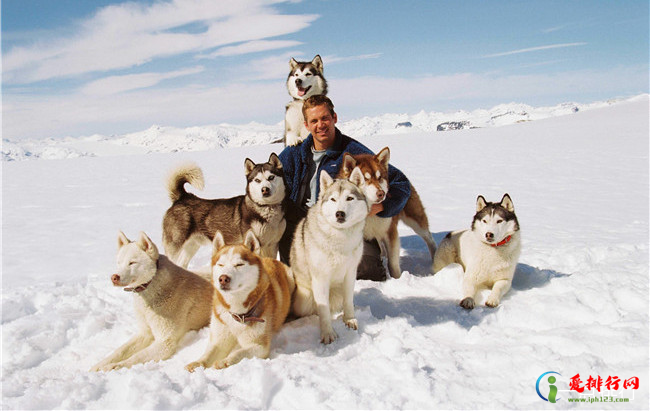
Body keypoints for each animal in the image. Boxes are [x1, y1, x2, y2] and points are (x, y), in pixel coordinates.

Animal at [90, 232, 211, 374]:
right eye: (119, 263)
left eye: (132, 263)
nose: (114, 277)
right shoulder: (144, 333)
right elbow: (119, 351)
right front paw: (98, 366)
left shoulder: (165, 342)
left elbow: (137, 357)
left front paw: (114, 367)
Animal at [184, 230, 292, 372]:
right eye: (221, 264)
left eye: (239, 264)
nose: (223, 279)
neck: (237, 312)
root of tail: (272, 259)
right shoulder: (219, 338)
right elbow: (208, 354)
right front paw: (197, 363)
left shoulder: (259, 345)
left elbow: (238, 352)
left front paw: (225, 361)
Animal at [290, 168, 368, 344]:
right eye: (333, 199)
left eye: (349, 198)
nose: (340, 214)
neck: (340, 237)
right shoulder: (320, 277)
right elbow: (324, 310)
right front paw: (327, 334)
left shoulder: (350, 273)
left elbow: (348, 301)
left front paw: (350, 320)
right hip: (305, 298)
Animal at [340, 148, 436, 280]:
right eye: (364, 179)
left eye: (379, 177)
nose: (381, 193)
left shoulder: (390, 232)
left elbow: (393, 264)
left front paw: (397, 280)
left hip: (416, 221)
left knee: (429, 238)